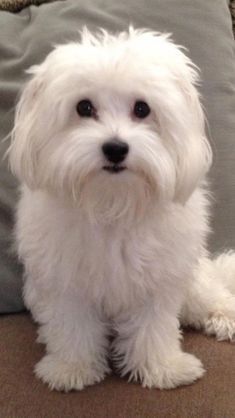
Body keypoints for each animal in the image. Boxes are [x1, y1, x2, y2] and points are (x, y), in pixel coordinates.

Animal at [8, 28, 235, 392]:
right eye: (84, 107)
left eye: (142, 108)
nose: (115, 148)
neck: (113, 202)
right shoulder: (66, 281)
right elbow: (73, 326)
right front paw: (72, 368)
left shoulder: (157, 281)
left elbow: (153, 329)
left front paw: (162, 368)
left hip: (194, 280)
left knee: (211, 294)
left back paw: (225, 316)